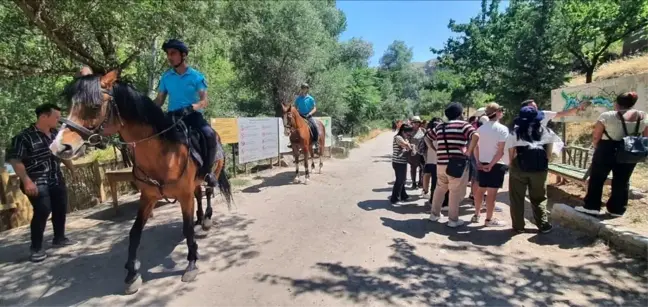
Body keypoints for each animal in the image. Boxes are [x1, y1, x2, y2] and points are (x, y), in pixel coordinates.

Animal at [50, 70, 233, 296]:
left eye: (94, 106)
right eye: (71, 104)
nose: (59, 147)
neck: (164, 153)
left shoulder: (184, 195)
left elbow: (188, 229)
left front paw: (191, 264)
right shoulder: (148, 197)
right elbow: (134, 232)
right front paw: (132, 274)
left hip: (211, 173)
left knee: (207, 193)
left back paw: (206, 219)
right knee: (199, 195)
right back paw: (200, 218)